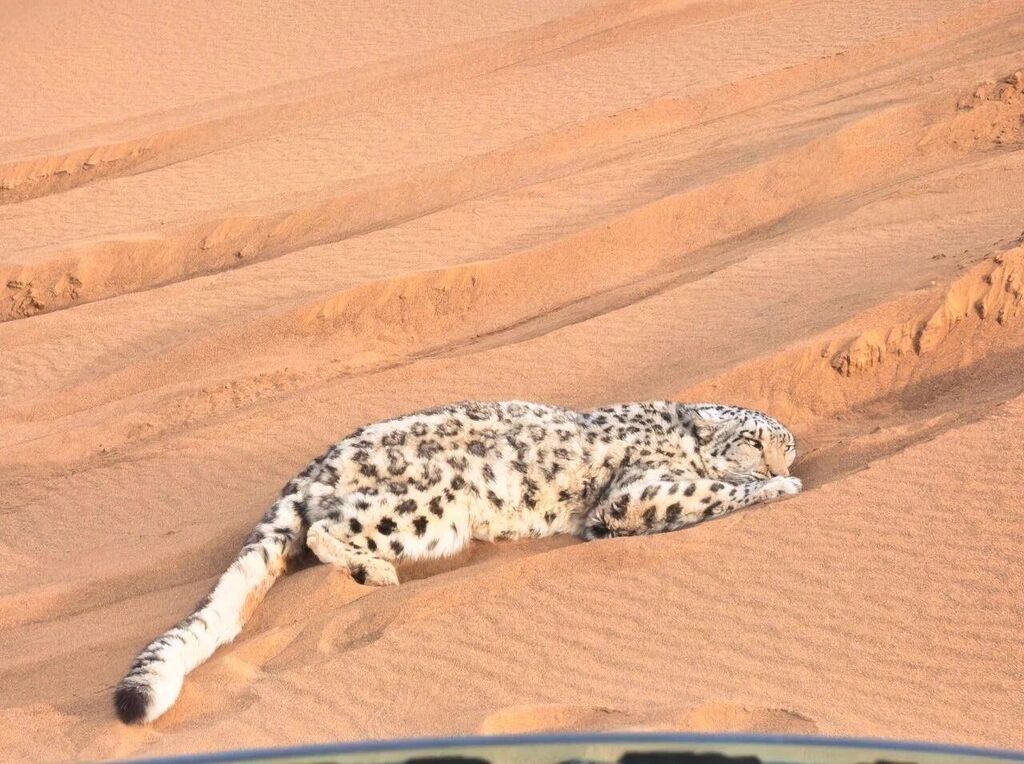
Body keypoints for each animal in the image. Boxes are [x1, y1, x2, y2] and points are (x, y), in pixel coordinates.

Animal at [115, 399, 800, 724]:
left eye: (786, 442)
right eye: (752, 441)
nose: (784, 462)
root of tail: (315, 464)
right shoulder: (633, 493)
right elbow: (702, 493)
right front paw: (777, 488)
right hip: (430, 506)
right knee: (323, 530)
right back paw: (373, 571)